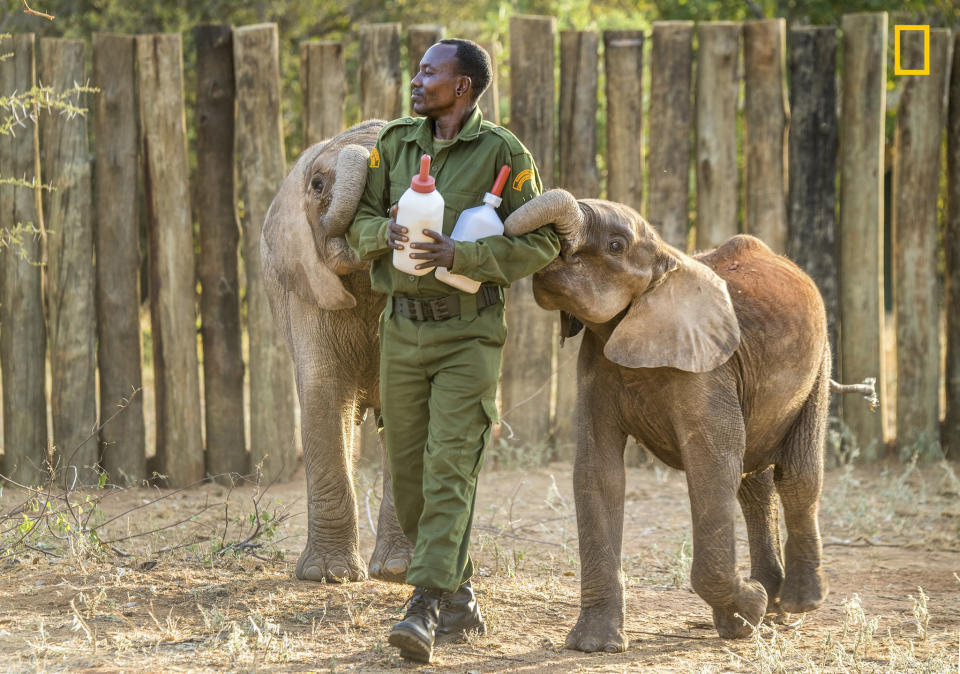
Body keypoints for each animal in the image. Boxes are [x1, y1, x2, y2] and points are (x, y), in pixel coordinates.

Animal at [502, 189, 832, 644]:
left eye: (616, 245)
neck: (666, 259)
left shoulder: (707, 368)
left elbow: (713, 468)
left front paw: (747, 612)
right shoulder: (596, 362)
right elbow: (598, 471)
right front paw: (593, 645)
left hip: (820, 363)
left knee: (797, 475)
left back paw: (797, 603)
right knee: (754, 484)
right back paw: (773, 602)